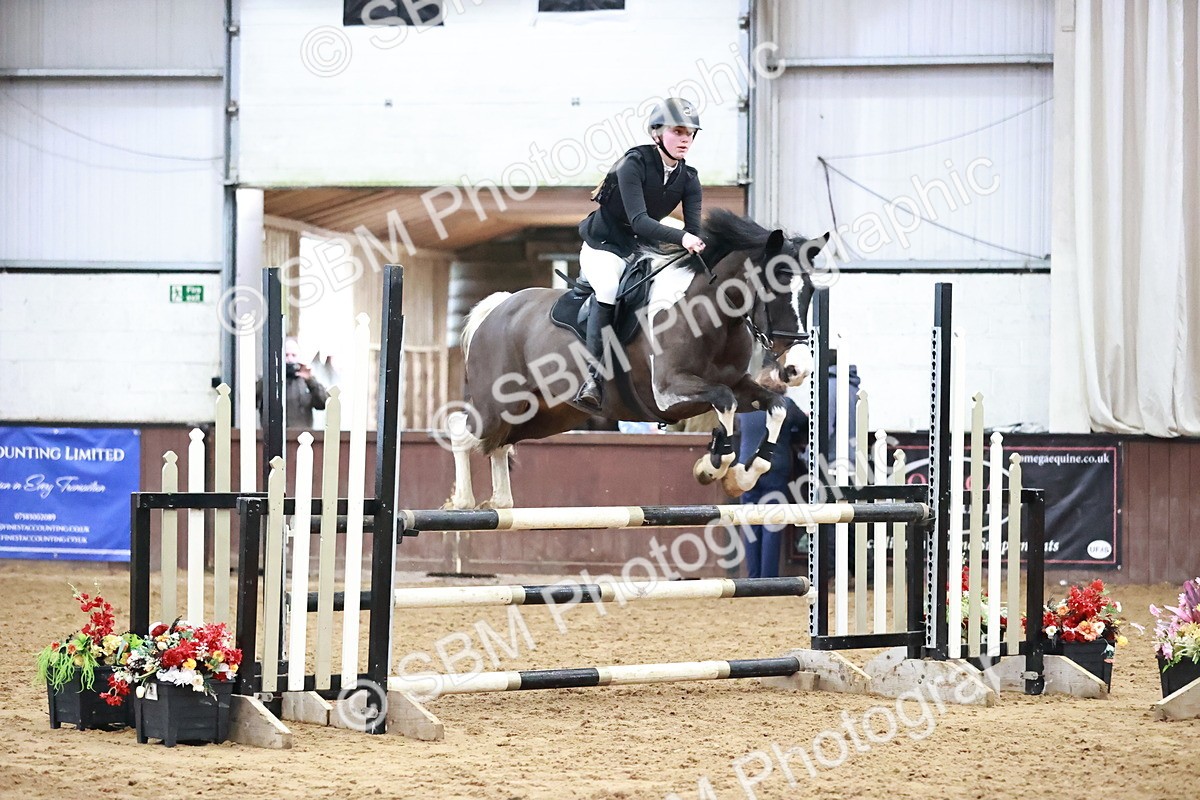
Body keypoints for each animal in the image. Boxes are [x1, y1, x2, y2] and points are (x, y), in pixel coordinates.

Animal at [444, 209, 829, 509]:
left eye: (811, 290)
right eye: (774, 286)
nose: (797, 369)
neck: (710, 314)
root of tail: (498, 308)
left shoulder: (738, 383)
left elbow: (775, 407)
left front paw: (741, 477)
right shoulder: (669, 392)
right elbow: (724, 401)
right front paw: (713, 466)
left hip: (545, 414)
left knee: (500, 443)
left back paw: (501, 503)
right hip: (499, 404)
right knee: (463, 431)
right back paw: (462, 502)